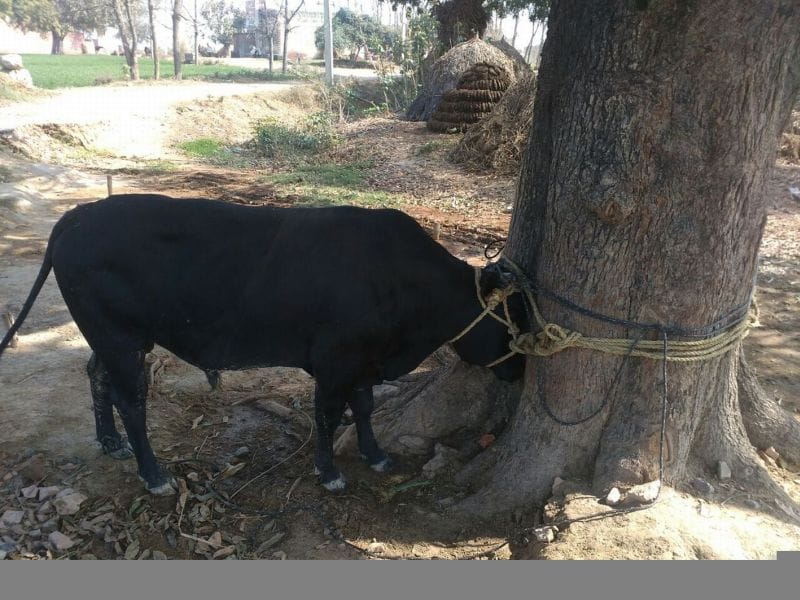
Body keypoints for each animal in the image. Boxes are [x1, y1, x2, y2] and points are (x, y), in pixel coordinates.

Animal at [0, 194, 526, 495]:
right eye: (511, 320)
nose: (522, 370)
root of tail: (79, 214)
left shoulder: (363, 362)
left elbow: (364, 406)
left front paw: (375, 454)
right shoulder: (335, 362)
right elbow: (328, 414)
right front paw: (328, 471)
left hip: (111, 339)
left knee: (97, 378)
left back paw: (109, 442)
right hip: (120, 338)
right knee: (131, 401)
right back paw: (154, 475)